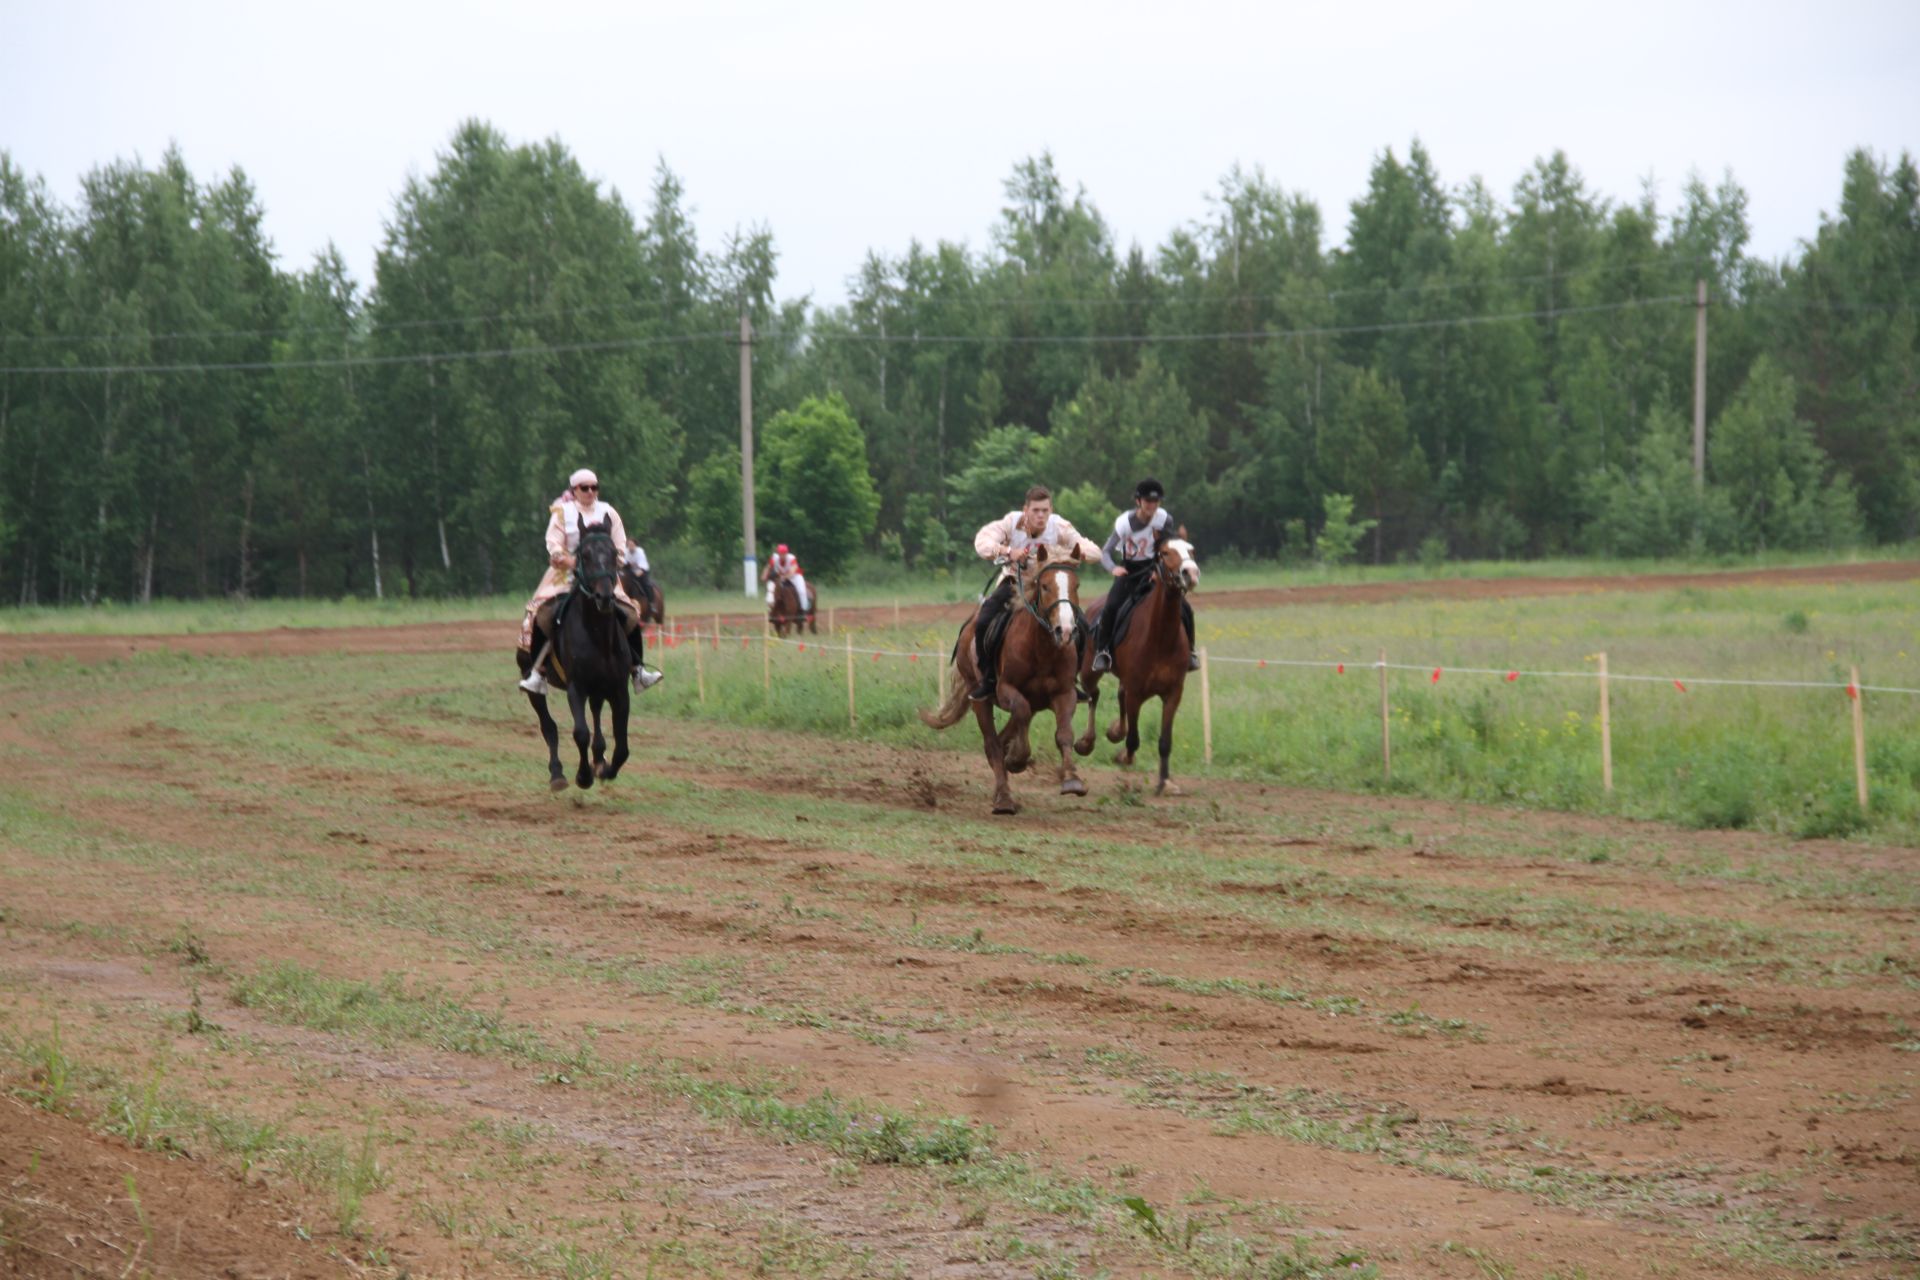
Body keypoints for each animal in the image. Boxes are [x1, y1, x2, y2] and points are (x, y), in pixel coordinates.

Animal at [514, 514, 633, 794]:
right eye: (584, 554)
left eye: (614, 553)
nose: (604, 596)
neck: (598, 636)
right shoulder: (576, 687)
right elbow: (580, 732)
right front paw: (583, 776)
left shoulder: (619, 689)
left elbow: (622, 747)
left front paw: (605, 770)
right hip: (533, 681)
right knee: (548, 726)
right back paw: (557, 774)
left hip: (599, 689)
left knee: (597, 717)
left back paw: (599, 760)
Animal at [921, 545, 1090, 817]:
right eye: (1044, 586)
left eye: (1076, 585)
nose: (1064, 631)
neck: (1040, 649)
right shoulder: (1005, 689)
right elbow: (1018, 714)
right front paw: (1017, 759)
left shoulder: (1065, 693)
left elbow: (1064, 733)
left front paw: (1072, 780)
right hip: (979, 698)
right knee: (993, 743)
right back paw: (1003, 799)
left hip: (1036, 701)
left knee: (1004, 736)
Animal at [1075, 537, 1190, 794]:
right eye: (1165, 553)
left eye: (1191, 550)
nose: (1190, 572)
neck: (1161, 638)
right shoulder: (1136, 692)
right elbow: (1134, 740)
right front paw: (1123, 757)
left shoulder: (1173, 693)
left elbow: (1165, 742)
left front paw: (1164, 782)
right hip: (1089, 671)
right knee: (1093, 695)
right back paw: (1087, 742)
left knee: (1117, 694)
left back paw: (1115, 731)